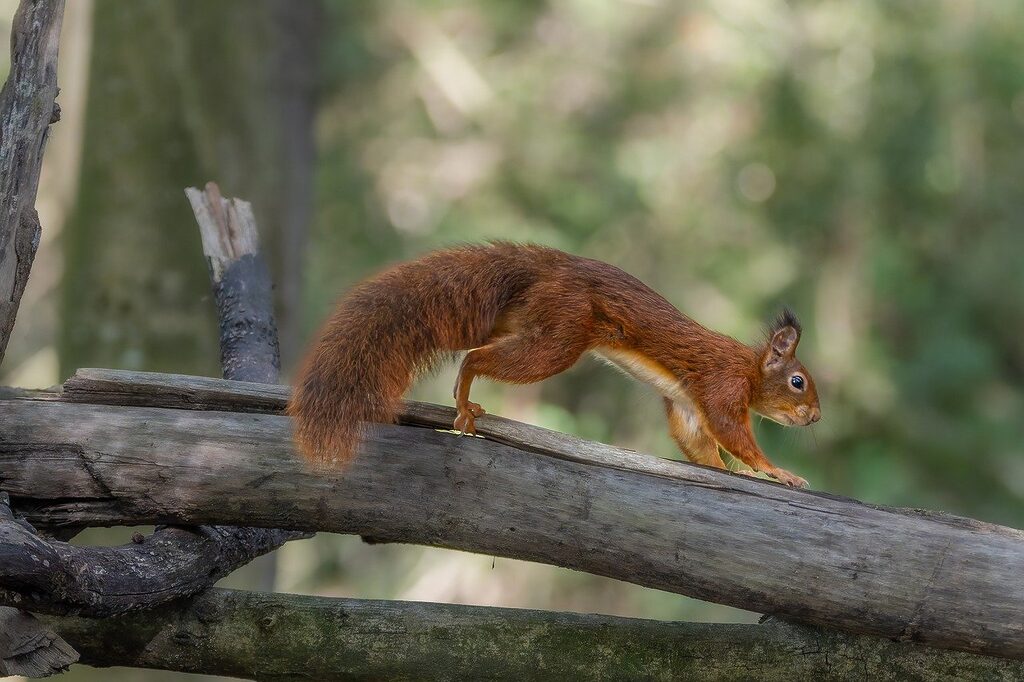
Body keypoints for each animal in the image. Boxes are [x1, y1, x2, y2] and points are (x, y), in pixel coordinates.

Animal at [288, 241, 815, 485]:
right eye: (798, 382)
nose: (815, 417)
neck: (749, 367)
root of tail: (551, 268)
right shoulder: (723, 384)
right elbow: (732, 433)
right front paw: (778, 471)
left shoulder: (687, 404)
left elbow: (701, 445)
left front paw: (732, 472)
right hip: (560, 337)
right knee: (475, 358)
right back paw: (463, 400)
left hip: (529, 322)